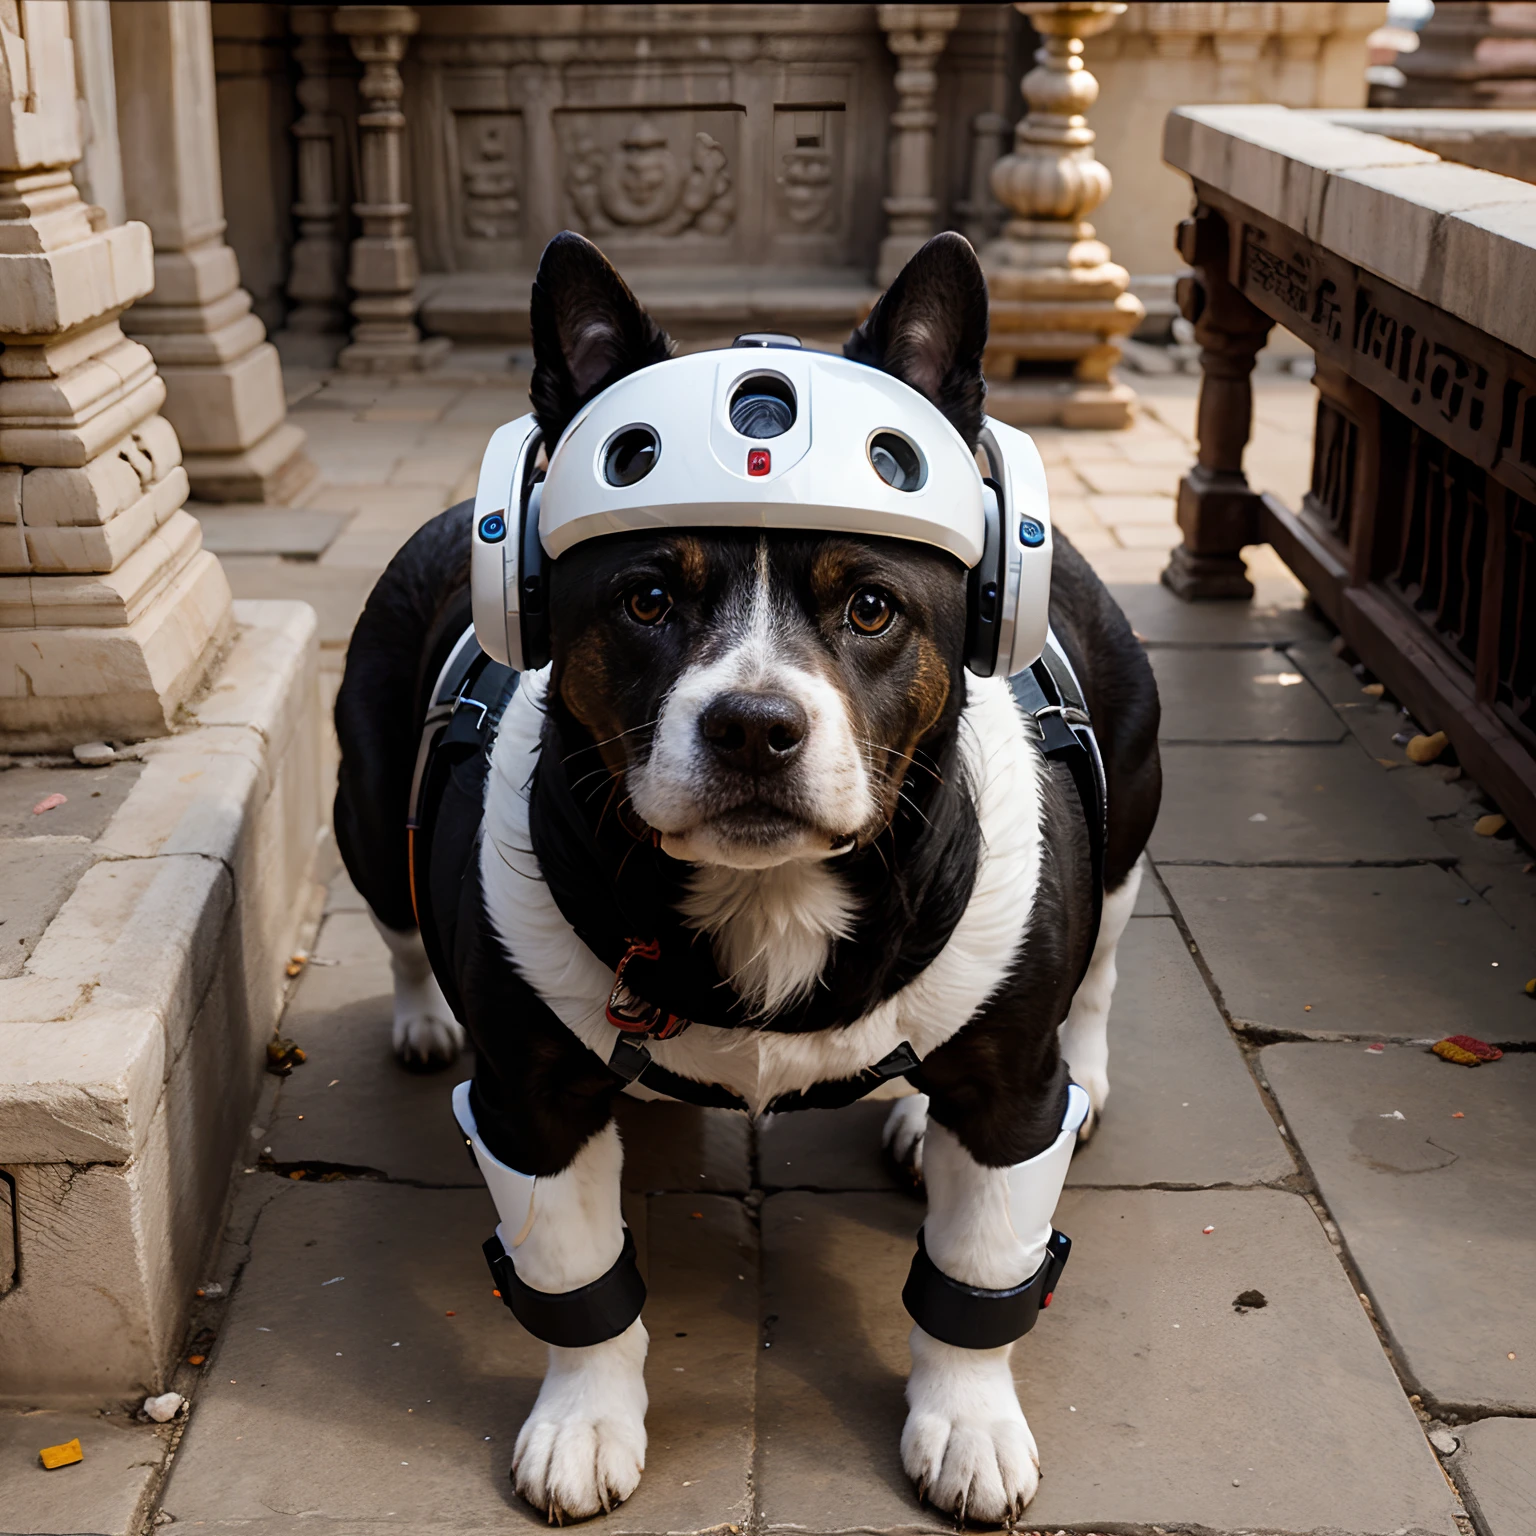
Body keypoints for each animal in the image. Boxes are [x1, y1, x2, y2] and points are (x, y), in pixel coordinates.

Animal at [333, 227, 1155, 1523]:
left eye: (871, 607)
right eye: (646, 598)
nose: (755, 725)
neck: (770, 901)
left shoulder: (1013, 1102)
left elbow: (979, 1276)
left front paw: (970, 1422)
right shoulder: (533, 1107)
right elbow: (575, 1283)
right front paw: (584, 1424)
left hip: (1127, 825)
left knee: (1105, 969)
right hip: (365, 814)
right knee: (399, 918)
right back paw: (423, 1020)